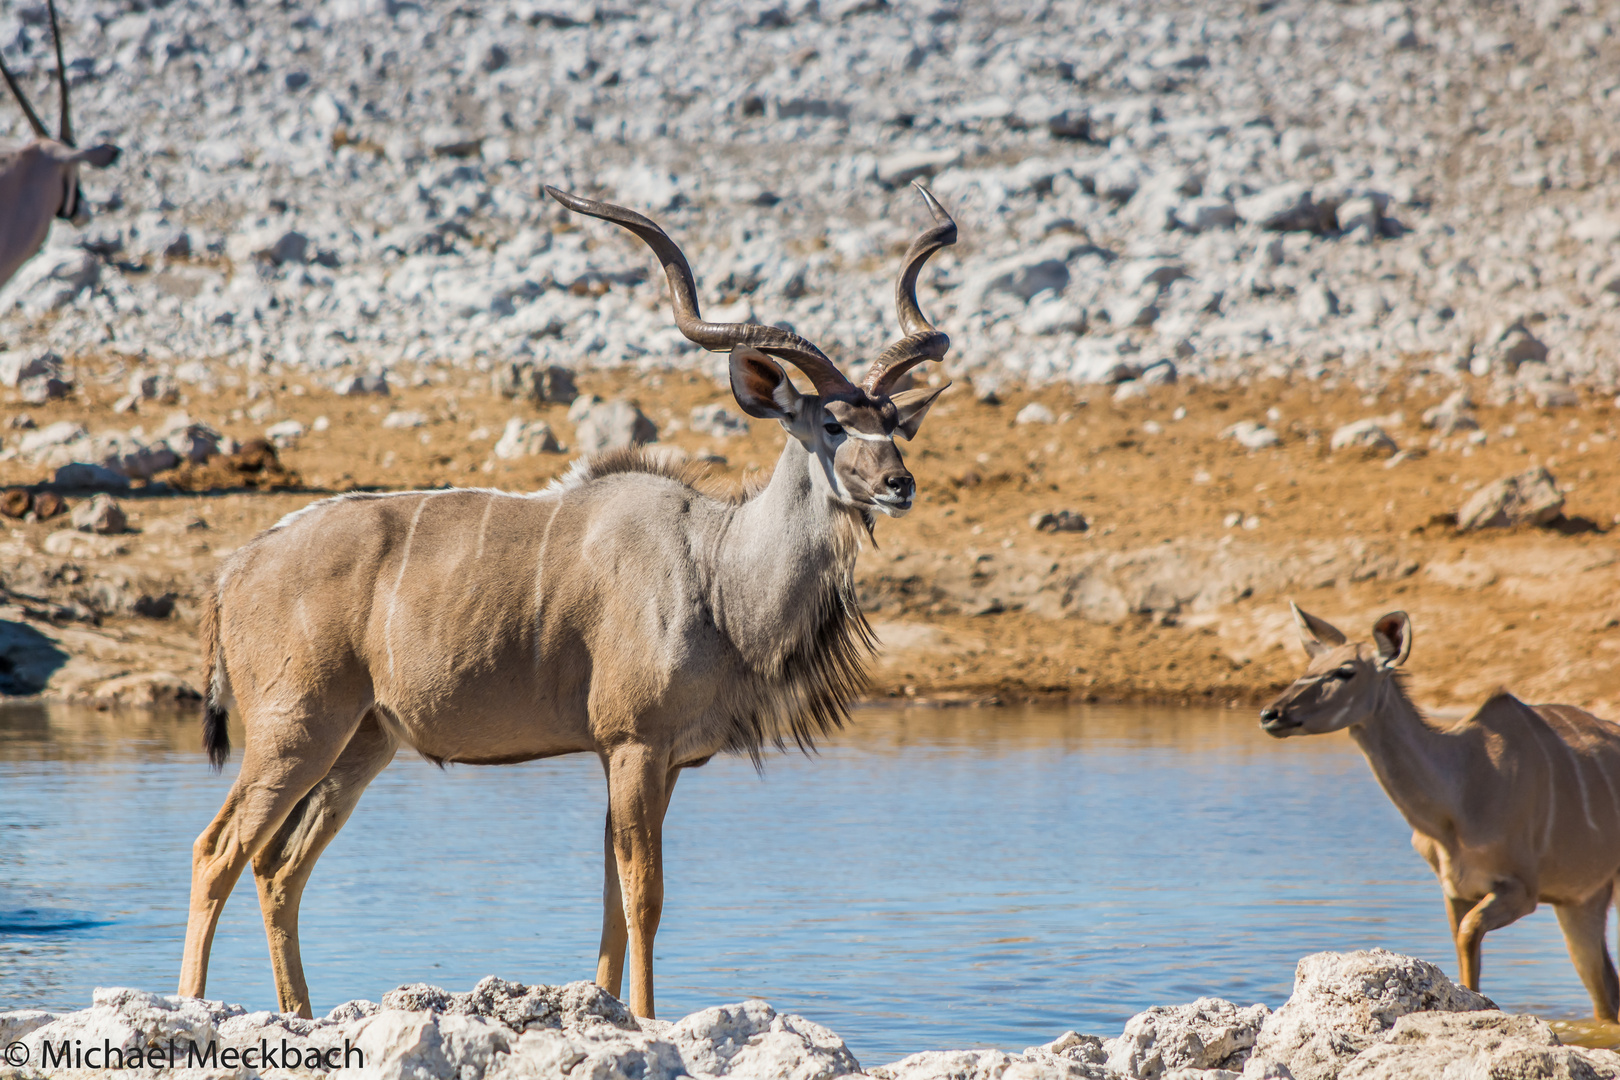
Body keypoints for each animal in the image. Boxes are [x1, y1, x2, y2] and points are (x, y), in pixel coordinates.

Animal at [182, 181, 952, 1016]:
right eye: (832, 422)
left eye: (895, 423)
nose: (899, 485)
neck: (713, 569)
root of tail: (234, 569)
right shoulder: (634, 745)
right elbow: (644, 893)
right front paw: (646, 1018)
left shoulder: (659, 760)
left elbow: (614, 896)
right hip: (295, 732)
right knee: (217, 849)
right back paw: (196, 1005)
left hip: (362, 743)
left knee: (278, 866)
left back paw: (300, 1013)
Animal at [1257, 608, 1620, 1023]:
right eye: (1310, 665)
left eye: (1345, 671)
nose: (1270, 714)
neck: (1457, 797)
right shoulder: (1455, 892)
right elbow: (1466, 964)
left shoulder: (1520, 891)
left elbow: (1467, 937)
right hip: (1581, 901)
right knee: (1606, 990)